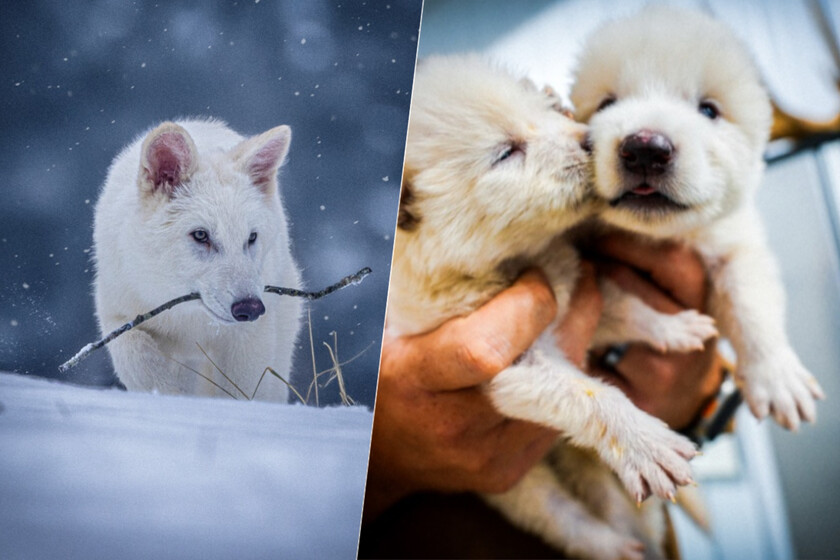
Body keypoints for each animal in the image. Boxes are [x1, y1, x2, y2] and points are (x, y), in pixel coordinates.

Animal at [93, 119, 302, 401]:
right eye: (201, 235)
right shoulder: (119, 317)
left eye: (251, 237)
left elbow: (240, 392)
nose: (250, 308)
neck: (189, 318)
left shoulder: (249, 338)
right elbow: (141, 363)